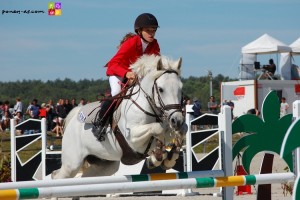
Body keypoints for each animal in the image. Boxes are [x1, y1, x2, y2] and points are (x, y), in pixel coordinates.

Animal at [52, 54, 186, 180]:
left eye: (181, 88)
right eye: (161, 89)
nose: (177, 120)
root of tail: (73, 118)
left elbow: (181, 130)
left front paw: (169, 157)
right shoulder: (133, 138)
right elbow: (158, 128)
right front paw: (155, 158)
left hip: (105, 164)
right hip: (72, 163)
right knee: (59, 176)